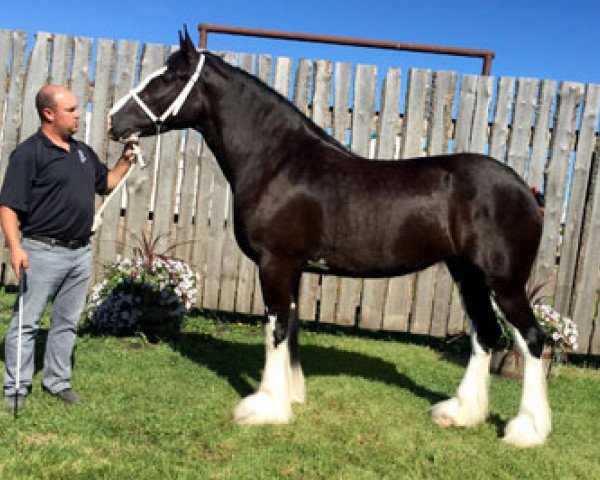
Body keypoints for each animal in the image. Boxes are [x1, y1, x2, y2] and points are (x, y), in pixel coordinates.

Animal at [109, 29, 552, 446]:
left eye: (167, 78)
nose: (115, 121)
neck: (278, 163)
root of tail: (526, 189)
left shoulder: (275, 263)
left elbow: (275, 329)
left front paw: (265, 407)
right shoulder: (293, 268)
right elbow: (291, 327)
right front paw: (291, 396)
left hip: (504, 282)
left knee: (531, 339)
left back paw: (527, 430)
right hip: (468, 276)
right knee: (486, 334)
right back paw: (460, 413)